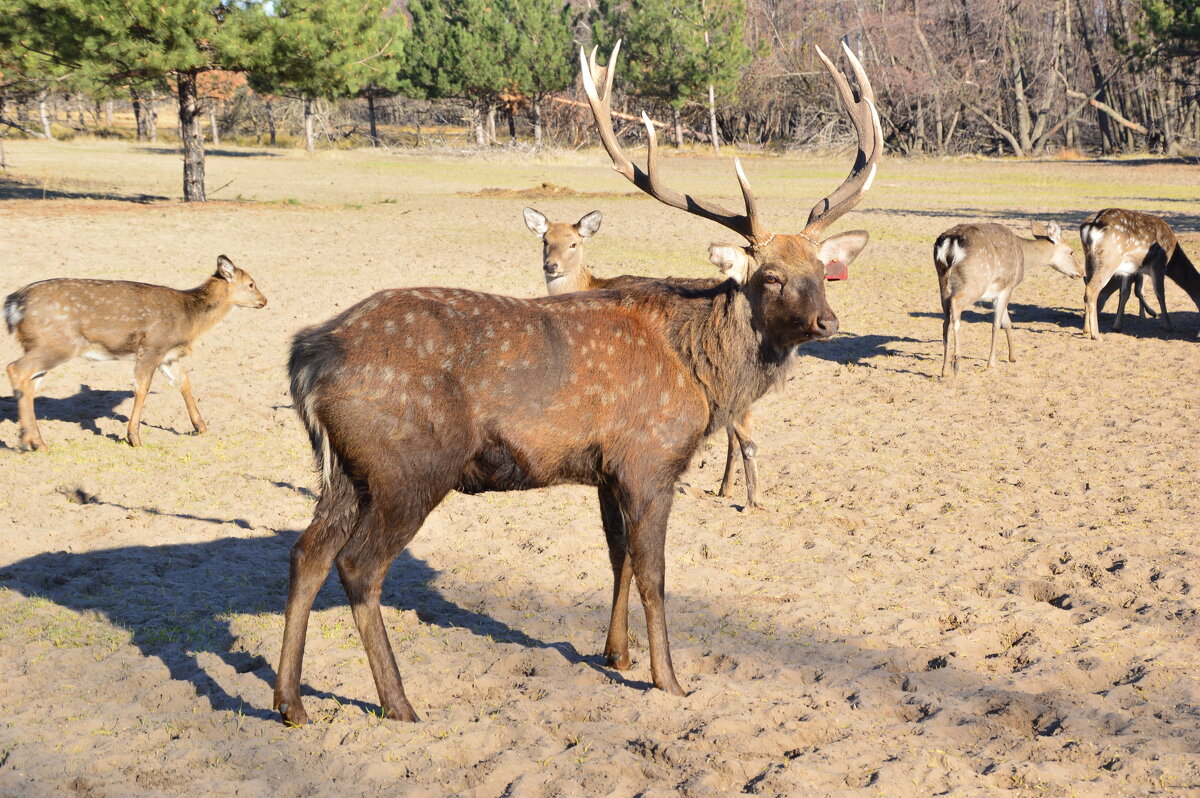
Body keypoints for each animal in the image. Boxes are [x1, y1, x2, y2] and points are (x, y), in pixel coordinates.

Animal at [4, 258, 267, 451]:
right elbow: (142, 387)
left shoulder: (167, 355)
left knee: (30, 382)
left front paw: (200, 427)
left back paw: (36, 441)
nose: (264, 300)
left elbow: (183, 380)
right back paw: (29, 440)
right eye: (251, 284)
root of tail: (13, 305)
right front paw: (134, 438)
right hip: (58, 343)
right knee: (15, 369)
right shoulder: (152, 345)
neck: (190, 317)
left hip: (40, 345)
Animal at [931, 219, 1084, 379]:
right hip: (975, 281)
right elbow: (997, 324)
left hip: (943, 280)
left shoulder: (997, 293)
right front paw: (992, 362)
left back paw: (944, 370)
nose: (1081, 272)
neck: (1024, 257)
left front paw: (1013, 357)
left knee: (945, 318)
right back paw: (956, 364)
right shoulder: (1008, 287)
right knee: (956, 305)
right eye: (1071, 251)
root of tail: (949, 244)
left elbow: (1007, 322)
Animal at [1080, 206, 1200, 338]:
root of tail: (1093, 225)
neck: (1172, 261)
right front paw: (1168, 325)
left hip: (1089, 259)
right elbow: (1160, 293)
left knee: (1086, 289)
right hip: (1110, 259)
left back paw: (1086, 330)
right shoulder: (1159, 265)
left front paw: (1117, 326)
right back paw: (1096, 335)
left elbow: (1125, 293)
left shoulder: (1131, 270)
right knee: (1092, 289)